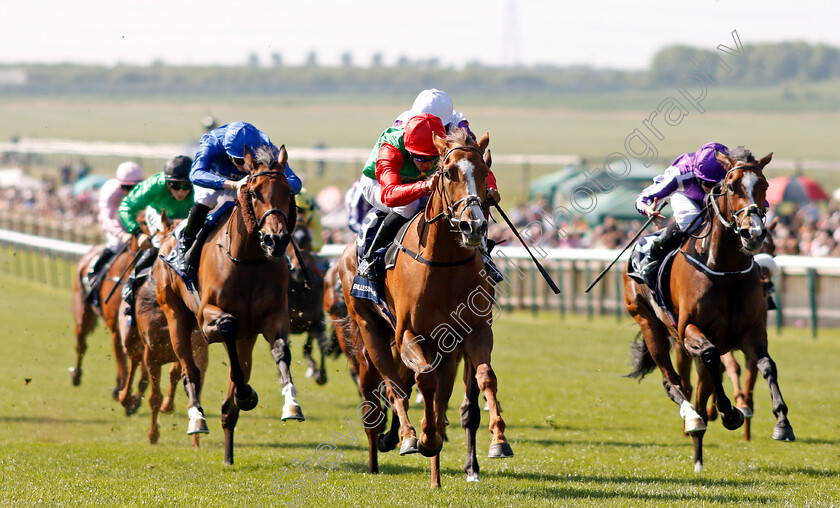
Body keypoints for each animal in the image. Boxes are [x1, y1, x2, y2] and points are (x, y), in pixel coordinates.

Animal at [71, 239, 147, 412]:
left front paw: (133, 401)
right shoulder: (117, 330)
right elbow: (124, 362)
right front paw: (125, 396)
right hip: (83, 312)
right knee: (81, 343)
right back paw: (76, 375)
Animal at [158, 143, 302, 464]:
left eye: (289, 192)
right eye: (254, 193)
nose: (275, 240)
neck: (247, 259)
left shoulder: (273, 317)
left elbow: (280, 350)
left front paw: (290, 402)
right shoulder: (207, 319)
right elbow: (226, 326)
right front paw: (245, 394)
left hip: (245, 337)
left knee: (230, 396)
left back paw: (228, 451)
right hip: (176, 316)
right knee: (189, 371)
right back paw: (197, 418)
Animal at [336, 128, 512, 488]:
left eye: (484, 171)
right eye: (448, 173)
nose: (473, 226)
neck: (445, 264)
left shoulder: (473, 332)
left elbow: (485, 377)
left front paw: (499, 440)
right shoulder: (409, 334)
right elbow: (424, 381)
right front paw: (425, 438)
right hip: (370, 329)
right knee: (391, 385)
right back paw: (400, 440)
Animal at [628, 150, 796, 472]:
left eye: (765, 186)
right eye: (729, 187)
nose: (753, 233)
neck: (725, 269)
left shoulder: (751, 333)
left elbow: (767, 365)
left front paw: (782, 423)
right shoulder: (689, 331)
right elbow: (710, 357)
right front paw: (730, 412)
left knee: (701, 384)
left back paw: (699, 447)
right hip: (650, 325)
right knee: (674, 382)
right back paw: (693, 422)